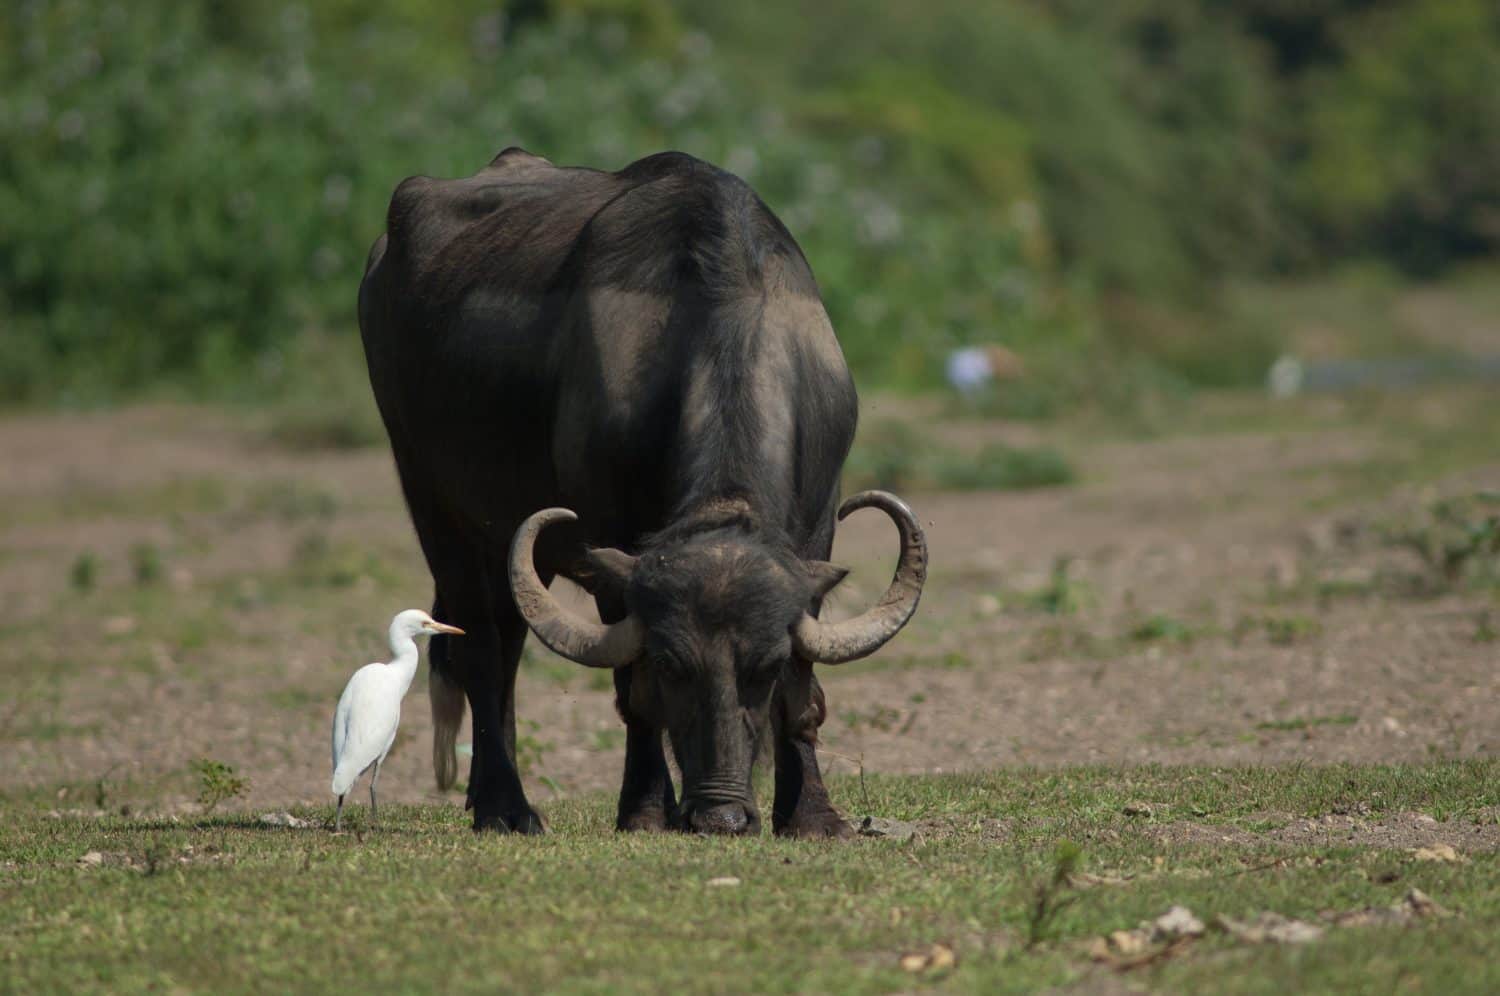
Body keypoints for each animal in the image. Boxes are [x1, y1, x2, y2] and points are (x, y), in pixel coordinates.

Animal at [361, 147, 924, 834]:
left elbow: (803, 691)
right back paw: (503, 805)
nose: (720, 815)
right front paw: (647, 809)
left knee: (511, 641)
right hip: (433, 502)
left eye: (762, 667)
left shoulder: (816, 531)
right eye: (672, 665)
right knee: (482, 649)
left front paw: (812, 815)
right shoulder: (610, 549)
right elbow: (633, 694)